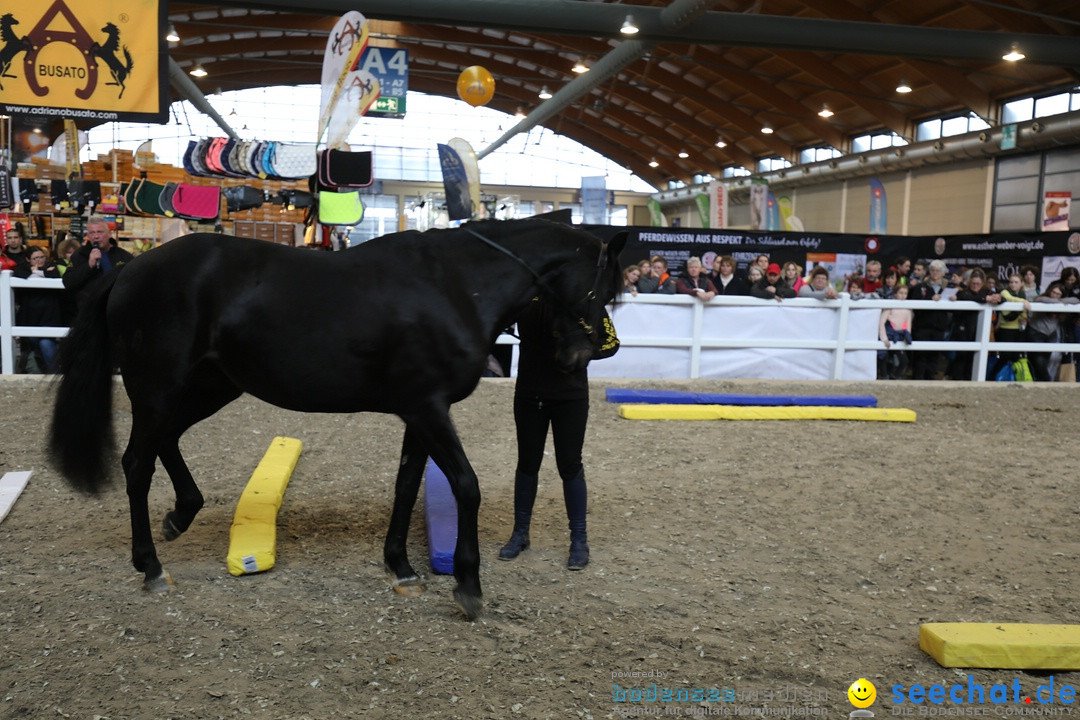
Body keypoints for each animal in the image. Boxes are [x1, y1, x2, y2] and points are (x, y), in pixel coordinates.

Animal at [48, 220, 626, 621]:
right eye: (603, 287)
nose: (580, 356)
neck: (456, 286)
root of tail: (129, 268)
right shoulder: (429, 408)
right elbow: (466, 485)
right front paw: (468, 585)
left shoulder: (419, 410)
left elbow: (406, 485)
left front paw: (402, 568)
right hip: (160, 387)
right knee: (137, 462)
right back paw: (151, 567)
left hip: (211, 386)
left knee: (164, 442)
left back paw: (180, 516)